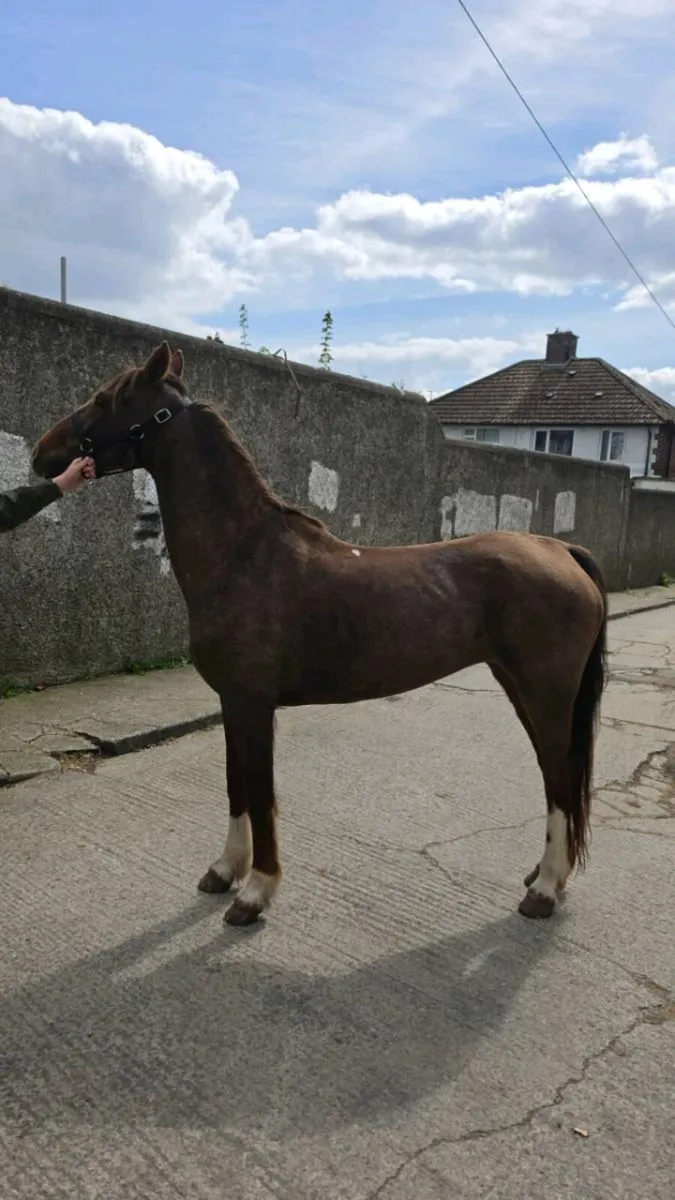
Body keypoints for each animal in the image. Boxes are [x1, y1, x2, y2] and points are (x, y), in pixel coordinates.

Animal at [32, 341, 607, 927]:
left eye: (106, 398)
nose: (42, 452)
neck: (245, 554)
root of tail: (560, 549)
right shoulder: (231, 703)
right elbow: (235, 784)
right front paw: (224, 871)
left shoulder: (253, 703)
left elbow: (260, 792)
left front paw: (254, 892)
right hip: (521, 690)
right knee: (556, 777)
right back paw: (542, 876)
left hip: (544, 695)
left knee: (559, 778)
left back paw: (544, 890)